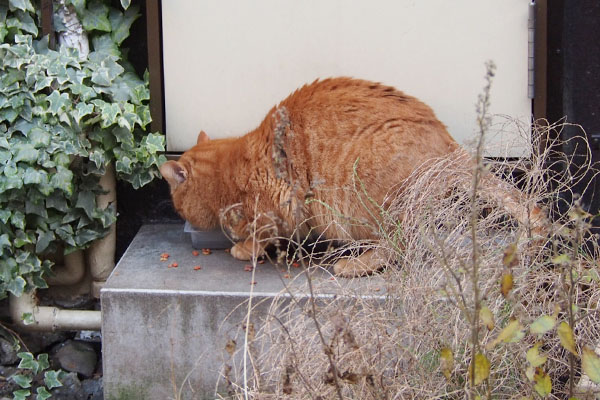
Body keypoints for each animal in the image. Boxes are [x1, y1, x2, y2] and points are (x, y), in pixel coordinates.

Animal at [162, 78, 548, 278]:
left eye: (176, 203)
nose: (177, 215)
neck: (230, 168)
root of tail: (448, 142)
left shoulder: (278, 204)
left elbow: (262, 234)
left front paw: (244, 248)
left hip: (364, 200)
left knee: (398, 246)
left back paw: (354, 265)